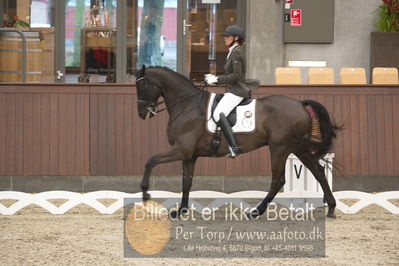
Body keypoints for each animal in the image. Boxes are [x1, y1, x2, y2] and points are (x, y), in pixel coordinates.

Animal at [136, 66, 340, 218]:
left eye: (142, 86)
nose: (141, 114)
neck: (187, 106)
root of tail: (299, 104)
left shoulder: (181, 150)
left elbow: (150, 161)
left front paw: (145, 194)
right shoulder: (189, 155)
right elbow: (186, 182)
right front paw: (180, 211)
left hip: (279, 148)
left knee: (278, 180)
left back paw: (256, 212)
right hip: (299, 148)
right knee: (318, 172)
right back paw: (331, 208)